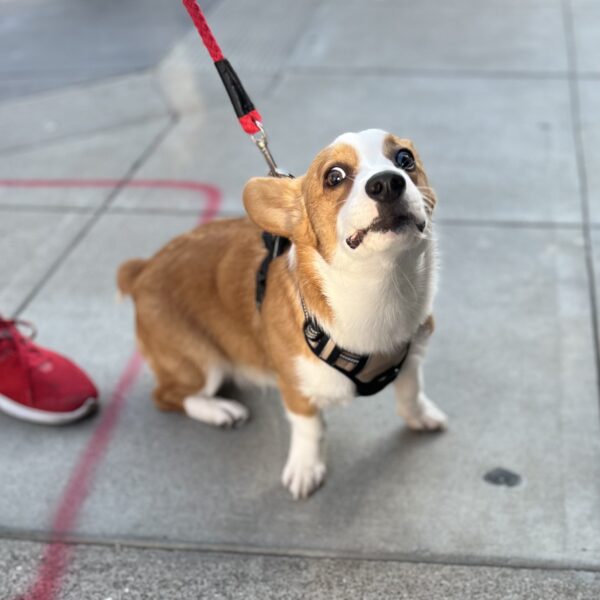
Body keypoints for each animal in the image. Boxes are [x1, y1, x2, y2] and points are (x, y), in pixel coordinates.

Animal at [116, 129, 446, 500]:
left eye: (405, 159)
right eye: (334, 177)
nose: (387, 182)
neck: (378, 290)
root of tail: (142, 270)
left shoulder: (412, 356)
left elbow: (411, 392)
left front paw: (420, 416)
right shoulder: (295, 387)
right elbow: (310, 427)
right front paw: (305, 469)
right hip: (201, 364)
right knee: (169, 396)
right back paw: (220, 411)